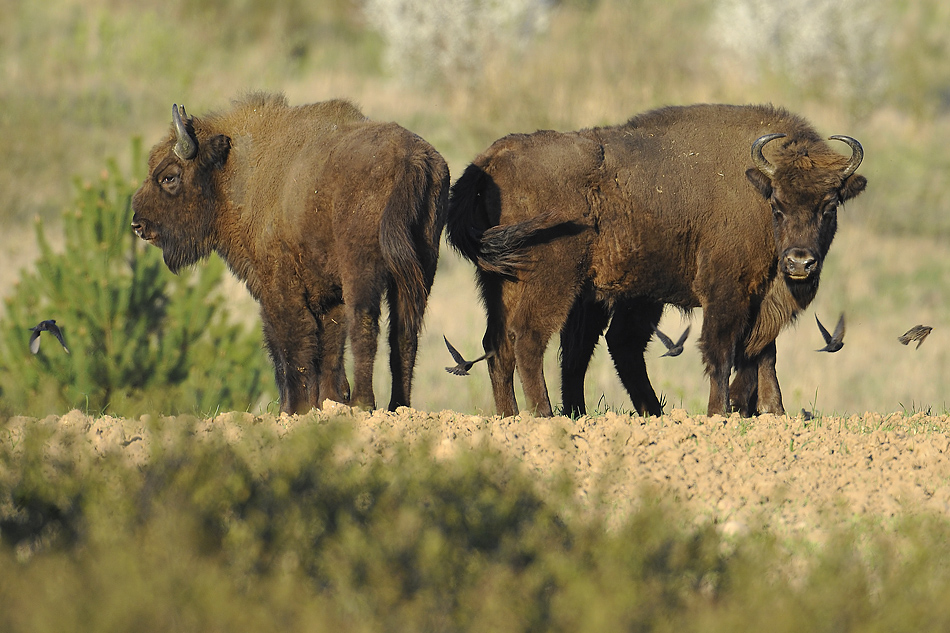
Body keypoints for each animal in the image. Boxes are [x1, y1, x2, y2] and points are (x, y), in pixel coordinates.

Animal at [131, 91, 454, 412]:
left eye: (169, 177)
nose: (137, 224)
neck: (237, 170)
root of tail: (412, 159)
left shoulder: (278, 286)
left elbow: (288, 343)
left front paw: (294, 409)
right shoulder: (328, 294)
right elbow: (328, 344)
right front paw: (327, 401)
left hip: (362, 268)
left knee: (365, 322)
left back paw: (363, 404)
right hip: (421, 266)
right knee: (404, 331)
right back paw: (398, 405)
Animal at [446, 103, 864, 418]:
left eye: (829, 207)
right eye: (777, 206)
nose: (800, 262)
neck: (755, 187)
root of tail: (492, 158)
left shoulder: (763, 297)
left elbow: (764, 352)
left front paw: (774, 412)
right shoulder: (728, 292)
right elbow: (723, 349)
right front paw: (720, 412)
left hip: (502, 281)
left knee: (501, 344)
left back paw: (512, 416)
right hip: (553, 281)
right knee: (529, 338)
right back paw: (546, 415)